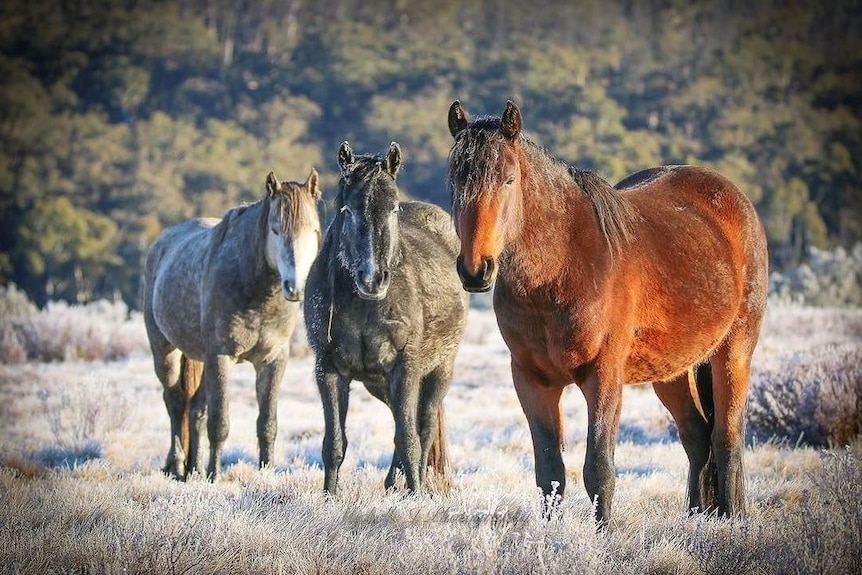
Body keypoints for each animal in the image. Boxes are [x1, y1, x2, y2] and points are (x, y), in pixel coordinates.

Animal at [143, 169, 322, 480]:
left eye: (312, 231)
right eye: (276, 230)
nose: (295, 287)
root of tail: (161, 244)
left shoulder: (274, 360)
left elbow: (267, 424)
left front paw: (265, 474)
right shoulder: (221, 357)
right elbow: (220, 423)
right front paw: (214, 476)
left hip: (199, 358)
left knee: (195, 408)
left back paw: (193, 469)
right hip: (164, 352)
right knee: (175, 403)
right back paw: (177, 465)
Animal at [306, 143, 470, 496]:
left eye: (393, 209)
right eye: (347, 210)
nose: (372, 279)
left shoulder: (405, 367)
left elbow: (409, 438)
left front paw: (417, 495)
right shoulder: (328, 368)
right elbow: (334, 443)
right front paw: (329, 497)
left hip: (439, 371)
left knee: (423, 424)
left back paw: (412, 483)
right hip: (378, 383)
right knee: (401, 419)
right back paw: (394, 483)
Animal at [448, 100, 768, 528]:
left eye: (508, 180)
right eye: (454, 182)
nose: (475, 270)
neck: (563, 267)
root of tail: (734, 200)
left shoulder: (603, 378)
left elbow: (598, 469)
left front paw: (603, 535)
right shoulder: (531, 381)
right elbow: (549, 471)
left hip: (734, 351)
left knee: (727, 438)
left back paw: (731, 520)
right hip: (671, 371)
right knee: (697, 438)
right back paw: (696, 519)